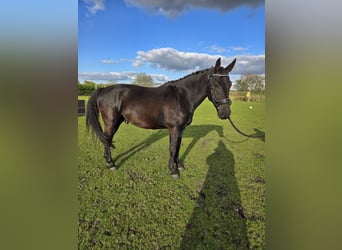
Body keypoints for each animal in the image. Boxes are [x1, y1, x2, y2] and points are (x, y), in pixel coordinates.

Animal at [86, 57, 235, 178]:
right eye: (215, 84)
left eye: (230, 84)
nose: (225, 113)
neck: (183, 96)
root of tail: (103, 89)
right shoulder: (174, 128)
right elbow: (173, 148)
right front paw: (173, 171)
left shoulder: (181, 129)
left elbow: (178, 147)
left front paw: (178, 165)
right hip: (111, 122)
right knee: (107, 139)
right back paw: (111, 164)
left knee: (107, 139)